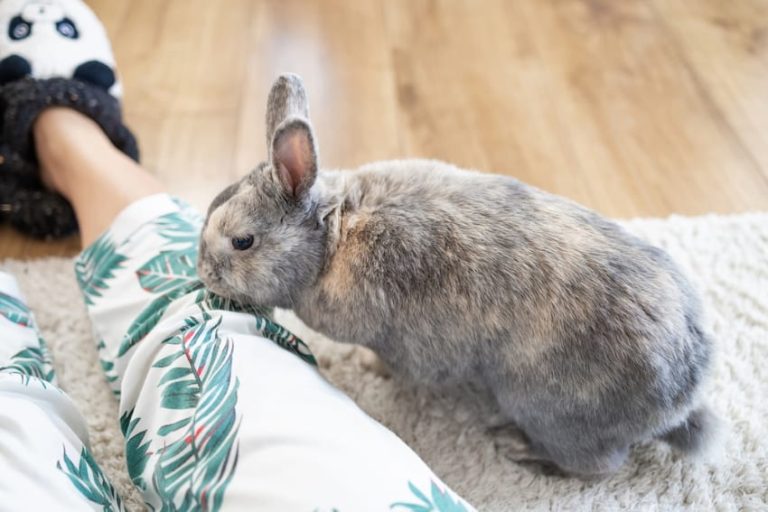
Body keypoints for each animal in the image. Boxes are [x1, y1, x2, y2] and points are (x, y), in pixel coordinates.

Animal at [198, 73, 718, 478]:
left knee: (599, 467)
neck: (332, 238)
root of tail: (683, 395)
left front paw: (368, 367)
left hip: (550, 410)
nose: (204, 275)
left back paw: (520, 449)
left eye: (242, 242)